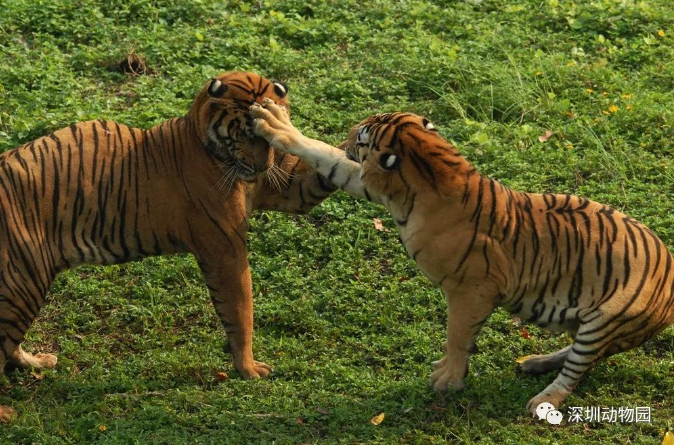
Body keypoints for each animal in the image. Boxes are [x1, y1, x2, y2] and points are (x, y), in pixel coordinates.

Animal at [0, 72, 337, 422]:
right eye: (246, 133)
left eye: (267, 137)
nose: (262, 167)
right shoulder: (225, 248)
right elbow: (240, 310)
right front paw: (248, 369)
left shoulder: (287, 188)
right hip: (21, 282)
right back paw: (5, 412)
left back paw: (36, 362)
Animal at [249, 98, 674, 415]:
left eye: (364, 137)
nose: (348, 135)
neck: (432, 167)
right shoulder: (366, 182)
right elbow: (324, 157)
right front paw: (276, 122)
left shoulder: (472, 291)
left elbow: (457, 336)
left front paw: (447, 380)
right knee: (583, 354)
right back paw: (534, 361)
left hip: (606, 318)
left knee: (578, 369)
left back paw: (543, 399)